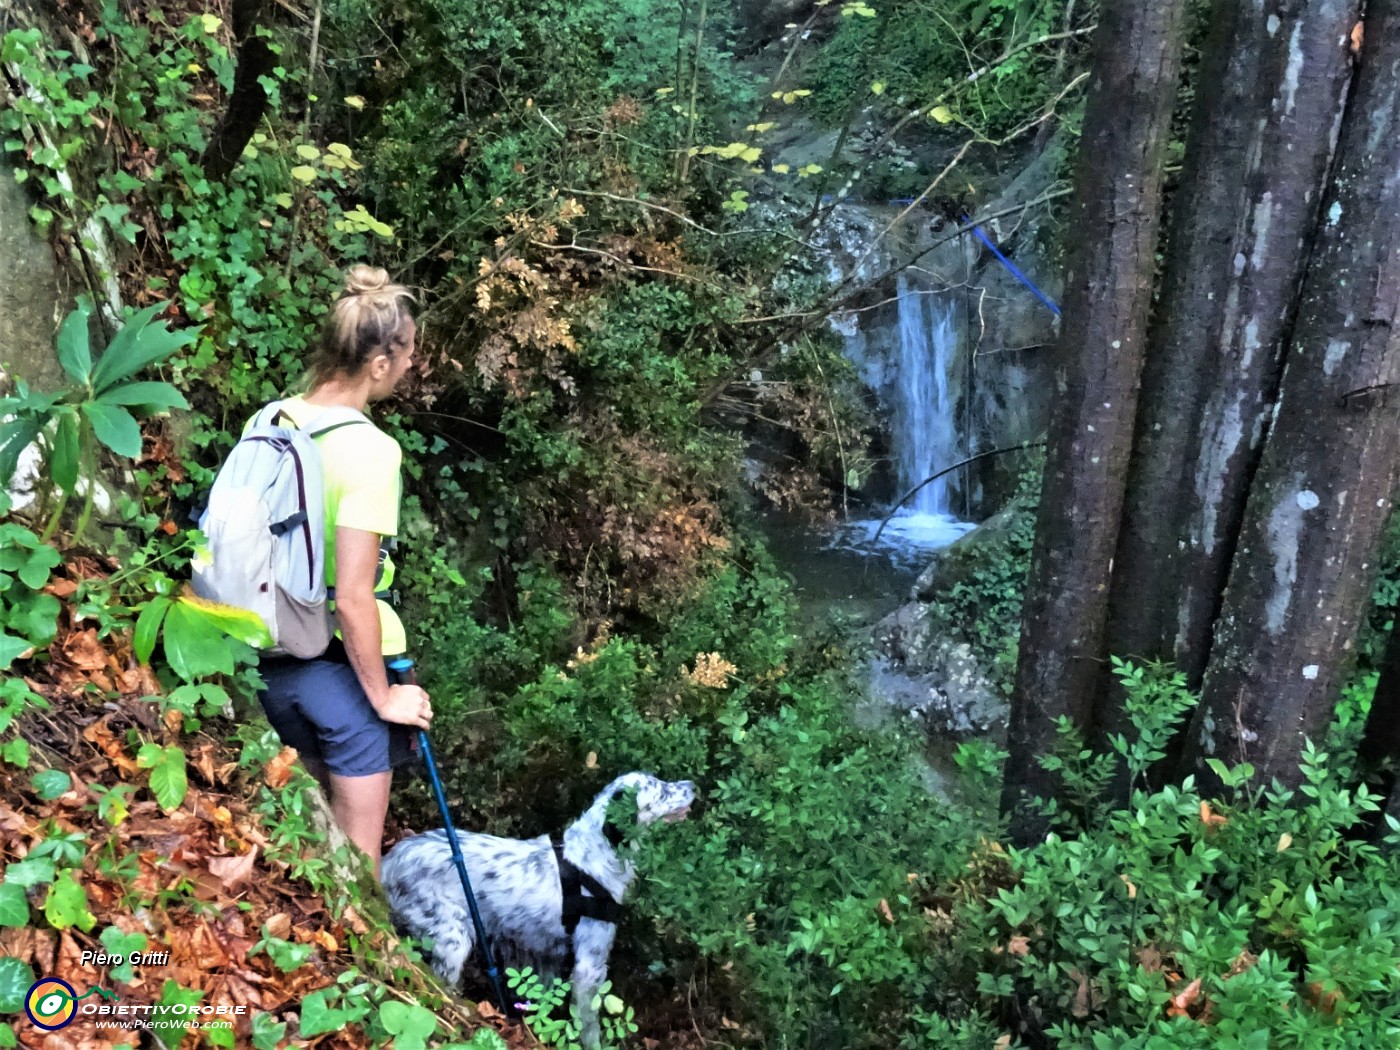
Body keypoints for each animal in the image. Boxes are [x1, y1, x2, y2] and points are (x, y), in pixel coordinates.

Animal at [383, 767, 694, 1047]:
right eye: (661, 790)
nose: (693, 785)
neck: (592, 857)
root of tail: (388, 863)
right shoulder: (589, 964)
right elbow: (589, 1024)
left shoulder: (545, 955)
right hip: (452, 937)